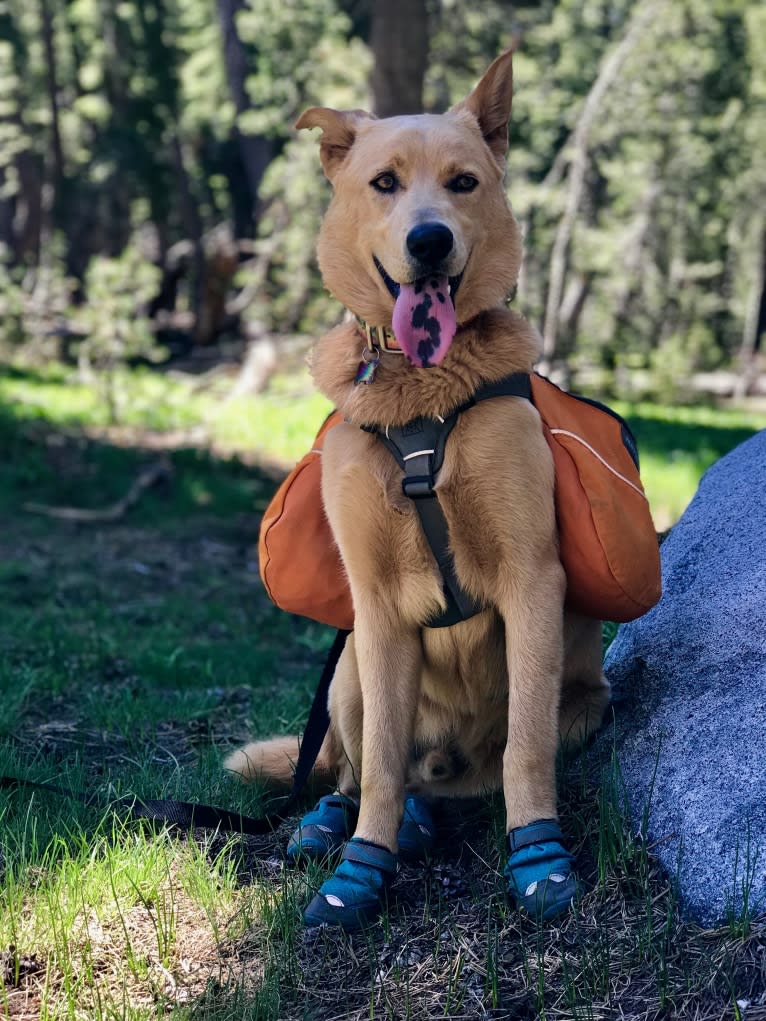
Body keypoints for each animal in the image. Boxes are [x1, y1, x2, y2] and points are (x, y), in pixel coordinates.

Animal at [226, 51, 612, 931]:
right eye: (385, 183)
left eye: (464, 182)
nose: (429, 240)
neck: (422, 397)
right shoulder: (374, 605)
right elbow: (378, 767)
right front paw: (362, 866)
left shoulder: (532, 581)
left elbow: (525, 752)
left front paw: (538, 855)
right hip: (349, 668)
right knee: (356, 766)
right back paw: (340, 821)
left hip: (586, 703)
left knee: (465, 771)